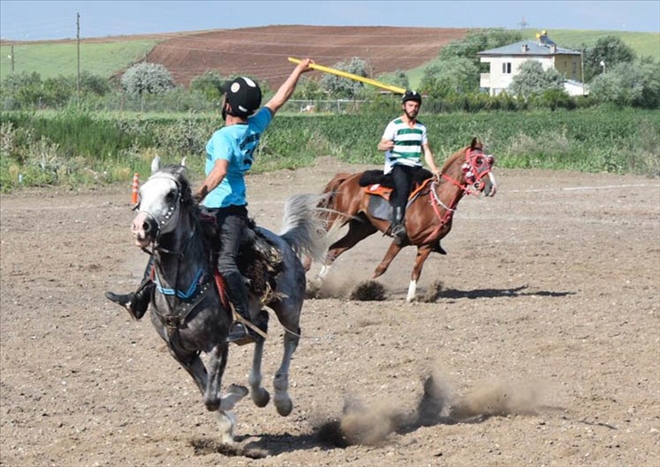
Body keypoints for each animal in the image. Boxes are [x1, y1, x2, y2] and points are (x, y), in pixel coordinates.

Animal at [127, 165, 324, 442]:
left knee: (291, 338)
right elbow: (206, 391)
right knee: (260, 329)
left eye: (170, 194)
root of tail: (282, 240)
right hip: (252, 315)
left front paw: (235, 395)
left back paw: (281, 398)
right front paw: (228, 426)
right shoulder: (180, 352)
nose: (140, 228)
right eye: (141, 193)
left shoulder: (217, 343)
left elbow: (212, 397)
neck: (178, 291)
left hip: (289, 307)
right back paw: (258, 392)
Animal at [314, 137, 496, 302]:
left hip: (361, 229)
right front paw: (363, 288)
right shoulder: (400, 239)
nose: (491, 187)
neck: (431, 203)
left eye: (490, 161)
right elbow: (382, 267)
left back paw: (318, 284)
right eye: (478, 161)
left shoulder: (426, 245)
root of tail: (349, 177)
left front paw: (411, 297)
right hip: (338, 216)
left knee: (334, 249)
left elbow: (416, 270)